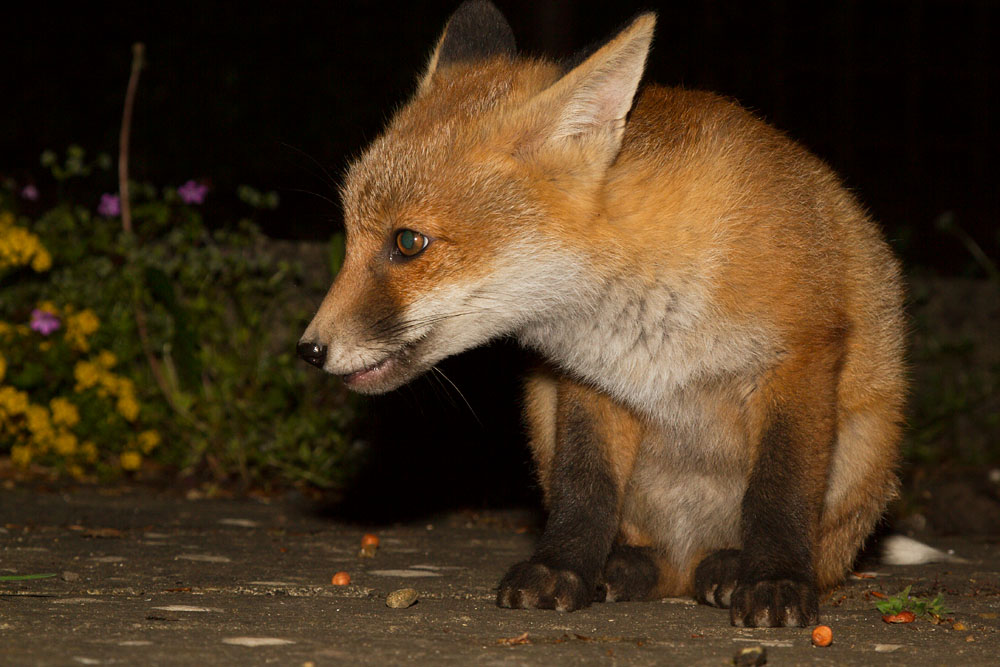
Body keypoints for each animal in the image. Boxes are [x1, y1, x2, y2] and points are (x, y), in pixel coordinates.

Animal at [298, 0, 906, 627]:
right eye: (351, 236)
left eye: (409, 243)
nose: (309, 349)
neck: (645, 315)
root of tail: (686, 563)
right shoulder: (589, 381)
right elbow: (584, 490)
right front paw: (561, 569)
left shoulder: (800, 354)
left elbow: (778, 492)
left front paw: (775, 581)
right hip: (541, 413)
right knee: (647, 551)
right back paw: (627, 567)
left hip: (864, 448)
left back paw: (730, 569)